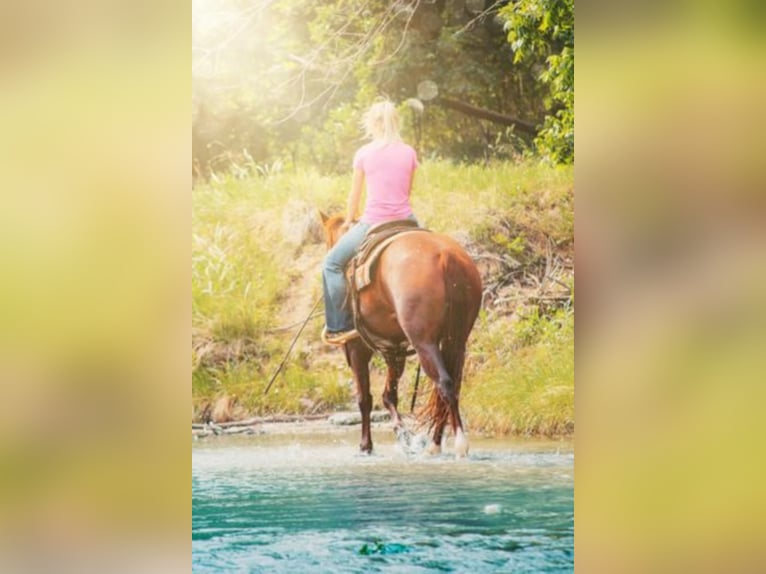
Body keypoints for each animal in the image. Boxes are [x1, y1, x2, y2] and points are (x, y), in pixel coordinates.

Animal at [320, 213, 484, 460]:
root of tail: (446, 256)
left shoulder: (358, 348)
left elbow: (364, 398)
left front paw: (366, 445)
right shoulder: (394, 349)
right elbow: (389, 395)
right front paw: (402, 434)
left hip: (424, 343)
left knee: (444, 384)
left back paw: (459, 444)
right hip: (456, 341)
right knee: (451, 386)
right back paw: (435, 445)